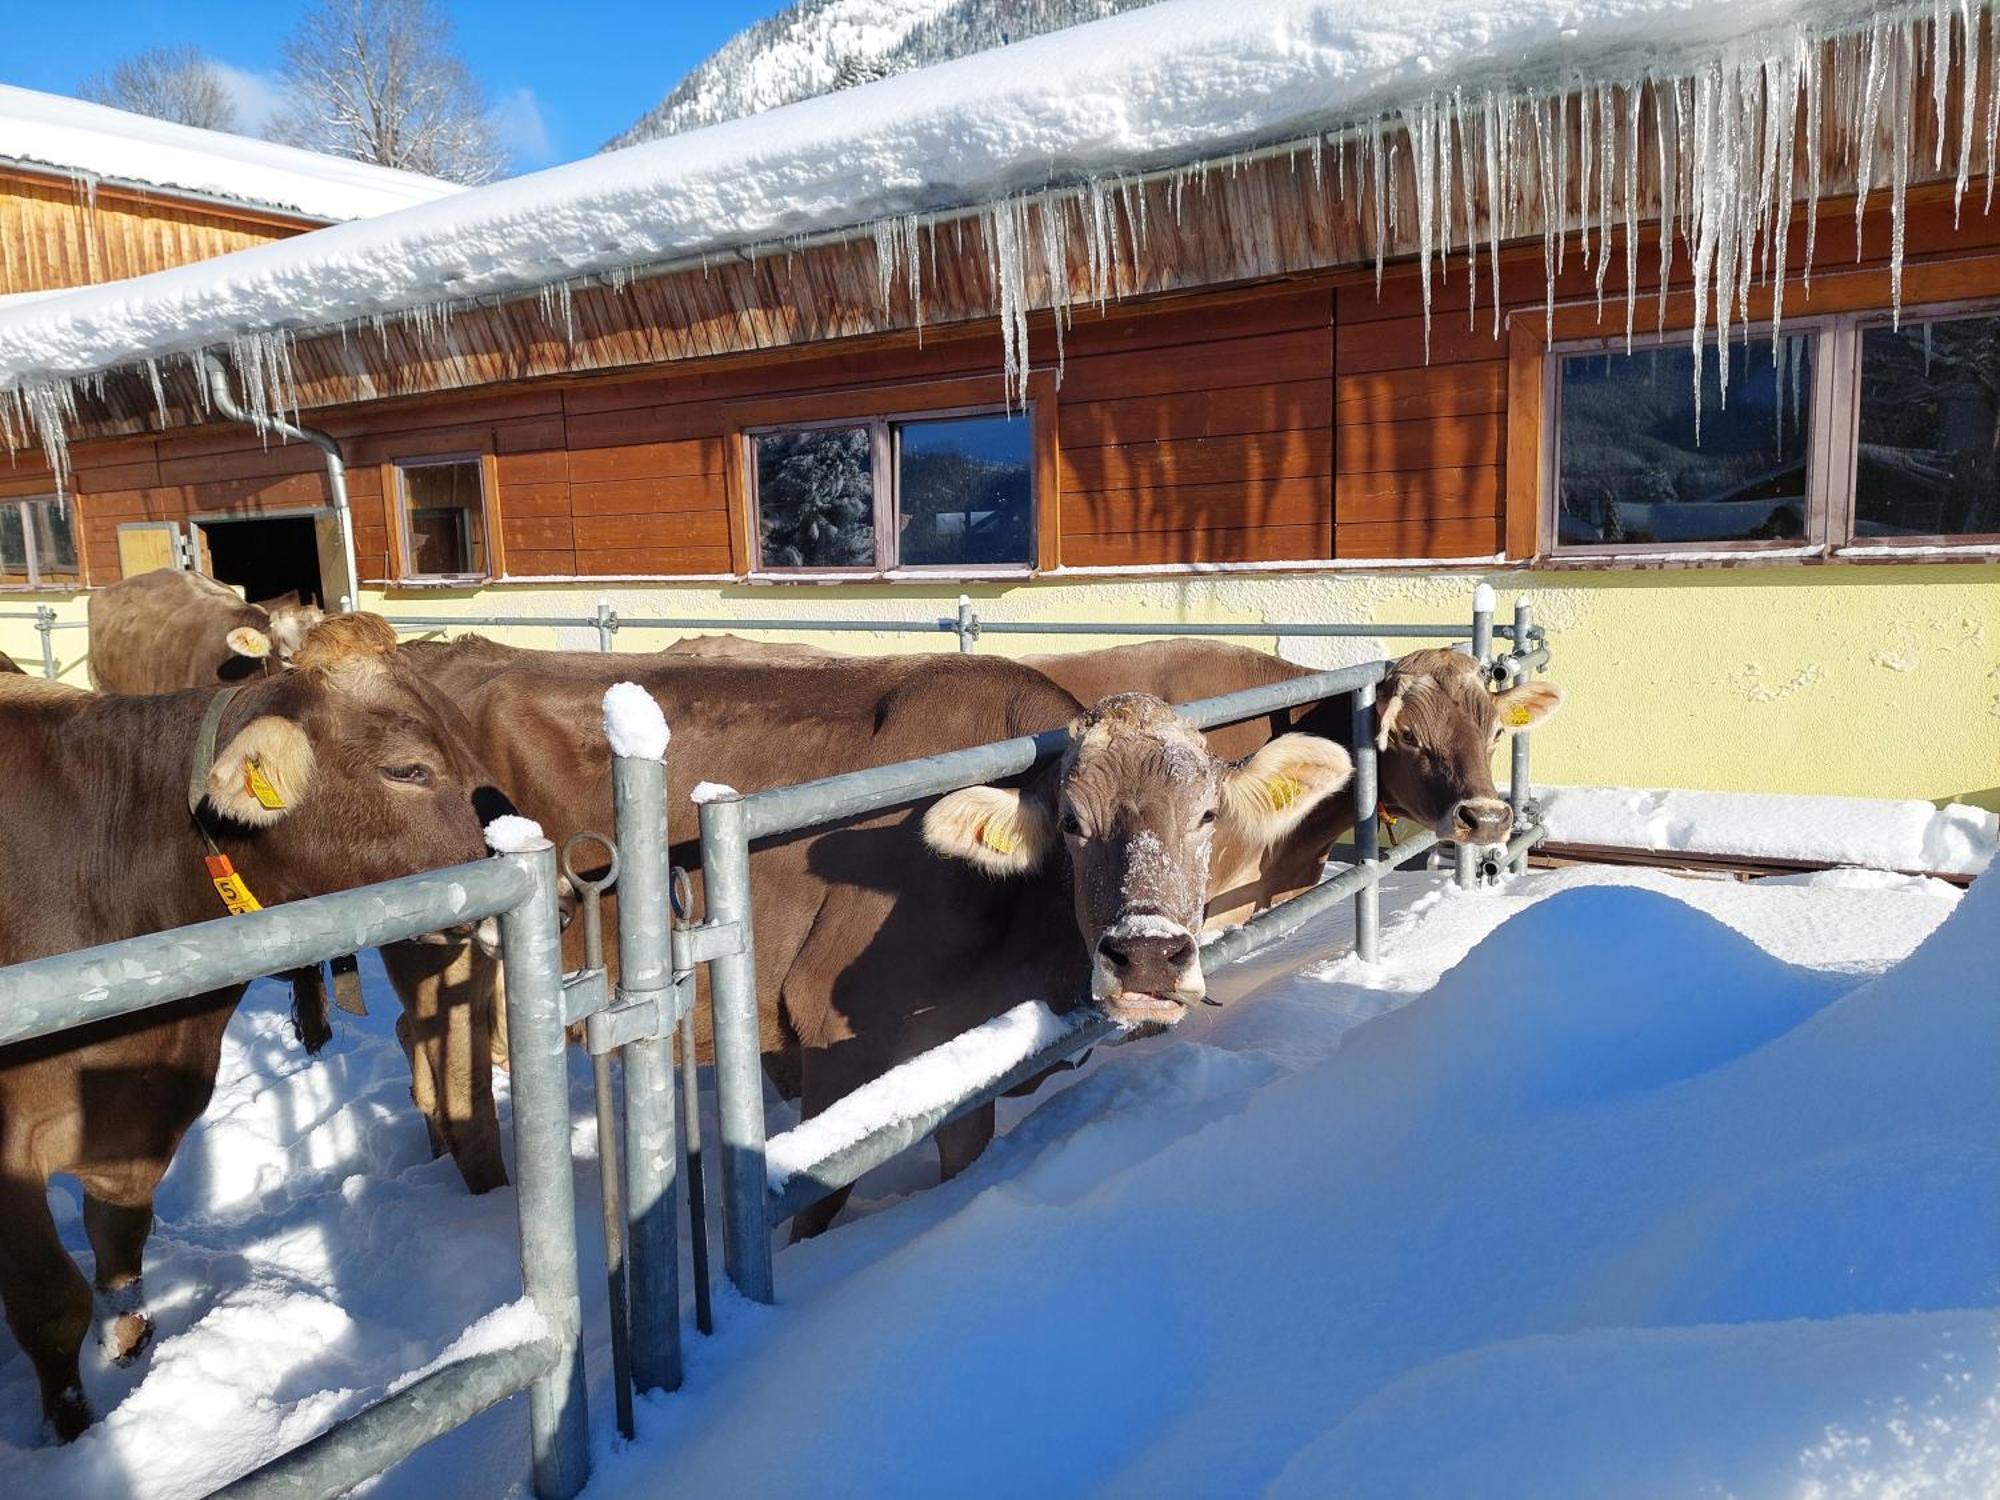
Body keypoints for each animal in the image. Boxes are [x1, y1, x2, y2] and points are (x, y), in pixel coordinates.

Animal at [0, 612, 508, 1448]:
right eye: (407, 769)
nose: (558, 885)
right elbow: (51, 1307)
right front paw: (76, 1438)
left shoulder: (136, 1122)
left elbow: (120, 1263)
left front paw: (133, 1369)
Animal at [384, 648, 1344, 1232]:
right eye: (1071, 823)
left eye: (1208, 815)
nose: (1147, 956)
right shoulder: (834, 1035)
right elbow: (821, 1187)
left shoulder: (967, 1047)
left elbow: (964, 1153)